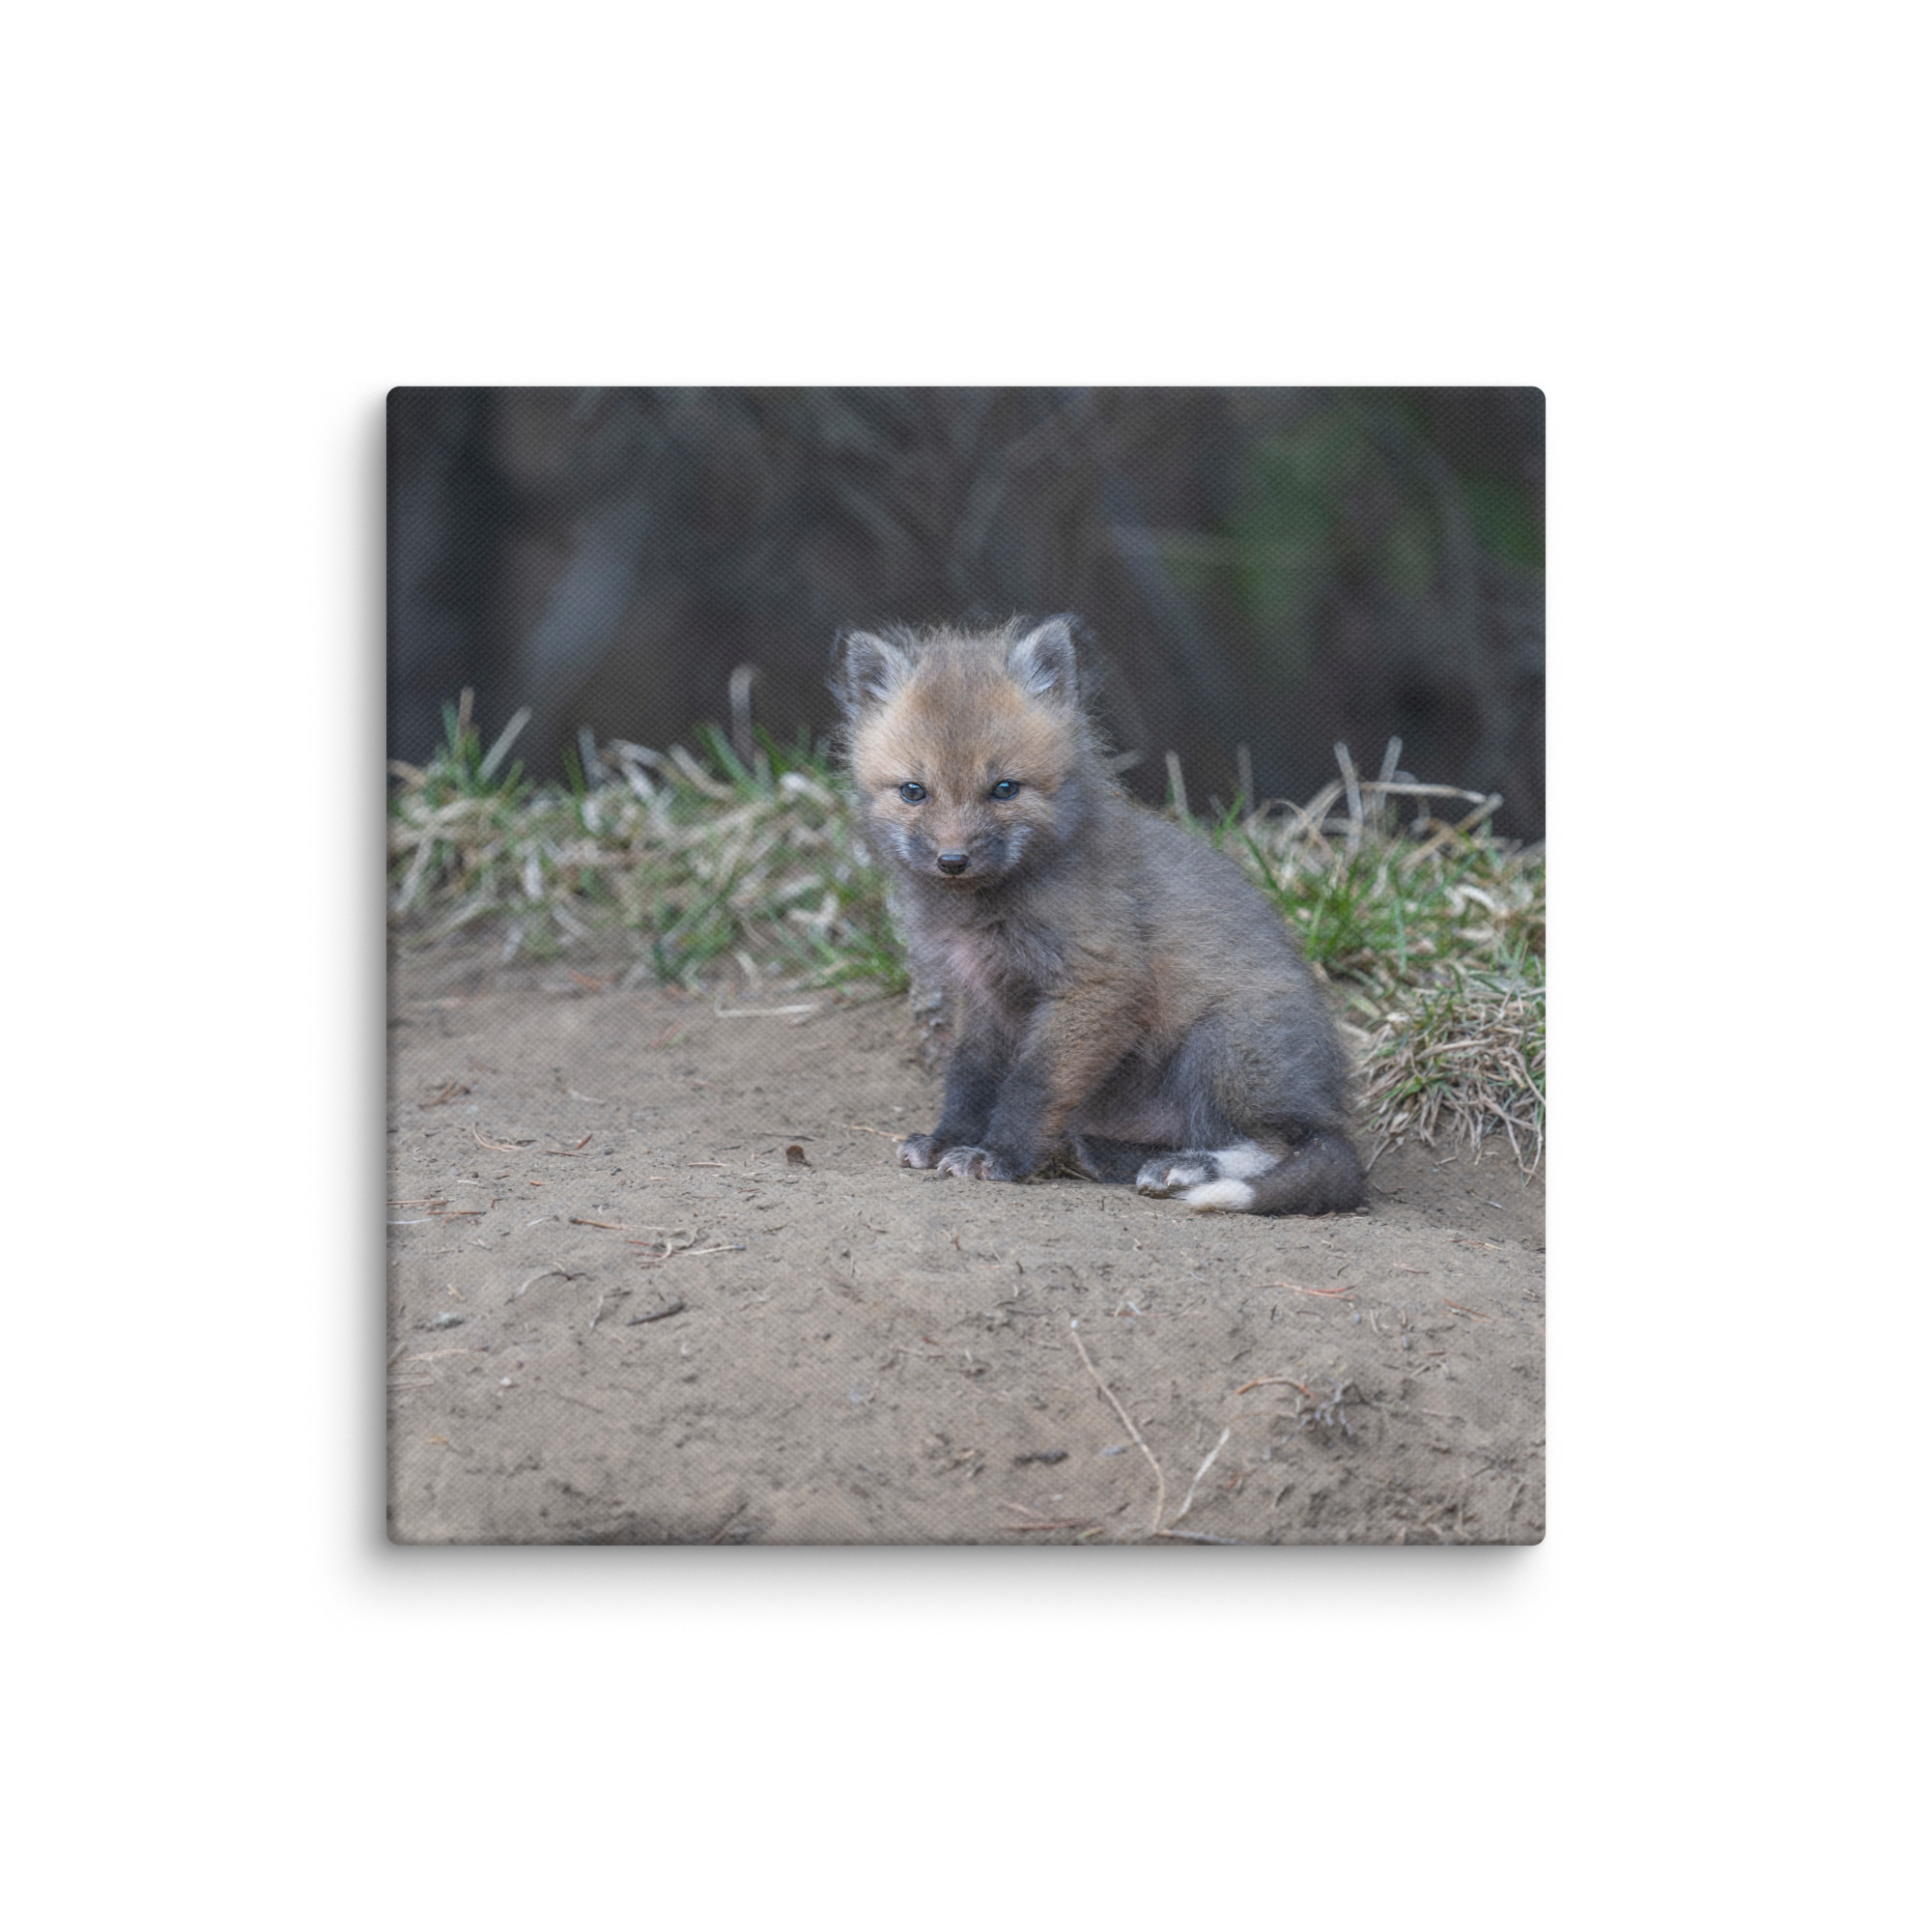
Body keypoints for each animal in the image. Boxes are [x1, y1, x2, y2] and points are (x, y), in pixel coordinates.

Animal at [831, 614, 1364, 1215]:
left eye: (1004, 789)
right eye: (914, 791)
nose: (952, 860)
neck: (987, 909)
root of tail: (1327, 1100)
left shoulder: (1097, 983)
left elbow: (1032, 1085)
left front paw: (1000, 1156)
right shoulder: (981, 993)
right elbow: (970, 1077)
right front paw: (949, 1140)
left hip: (1221, 1047)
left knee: (1288, 1144)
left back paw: (1186, 1168)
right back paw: (1106, 1154)